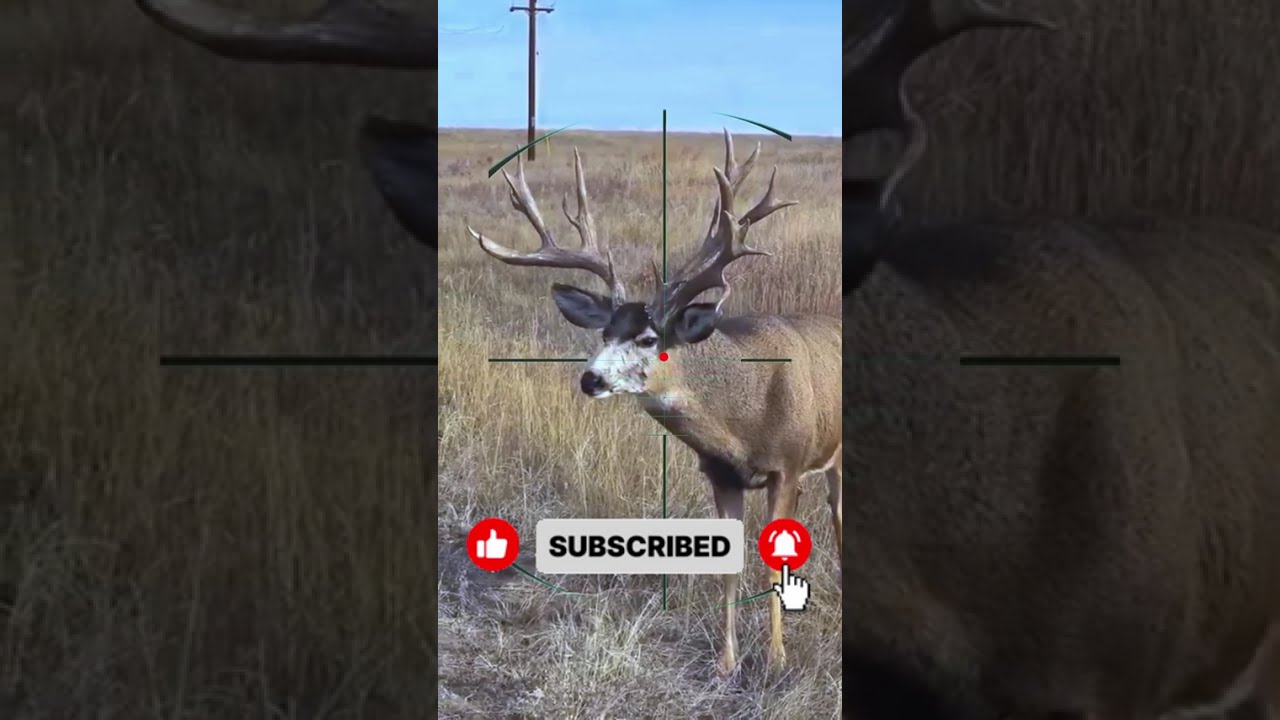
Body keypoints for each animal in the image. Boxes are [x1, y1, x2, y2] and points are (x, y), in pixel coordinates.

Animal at [467, 132, 841, 674]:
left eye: (647, 338)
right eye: (604, 332)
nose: (590, 378)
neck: (742, 420)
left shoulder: (787, 466)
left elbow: (773, 564)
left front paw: (775, 658)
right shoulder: (720, 474)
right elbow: (728, 565)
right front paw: (726, 662)